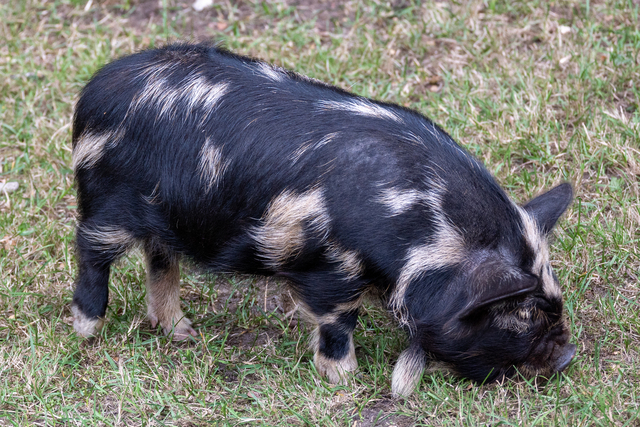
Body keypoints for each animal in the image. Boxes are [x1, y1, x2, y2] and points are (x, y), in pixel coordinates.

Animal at [70, 43, 576, 397]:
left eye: (555, 304)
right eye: (521, 315)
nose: (568, 356)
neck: (419, 226)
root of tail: (97, 88)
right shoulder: (331, 264)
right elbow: (339, 318)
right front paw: (346, 380)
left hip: (166, 219)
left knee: (161, 260)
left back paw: (181, 332)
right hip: (106, 202)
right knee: (91, 252)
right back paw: (88, 331)